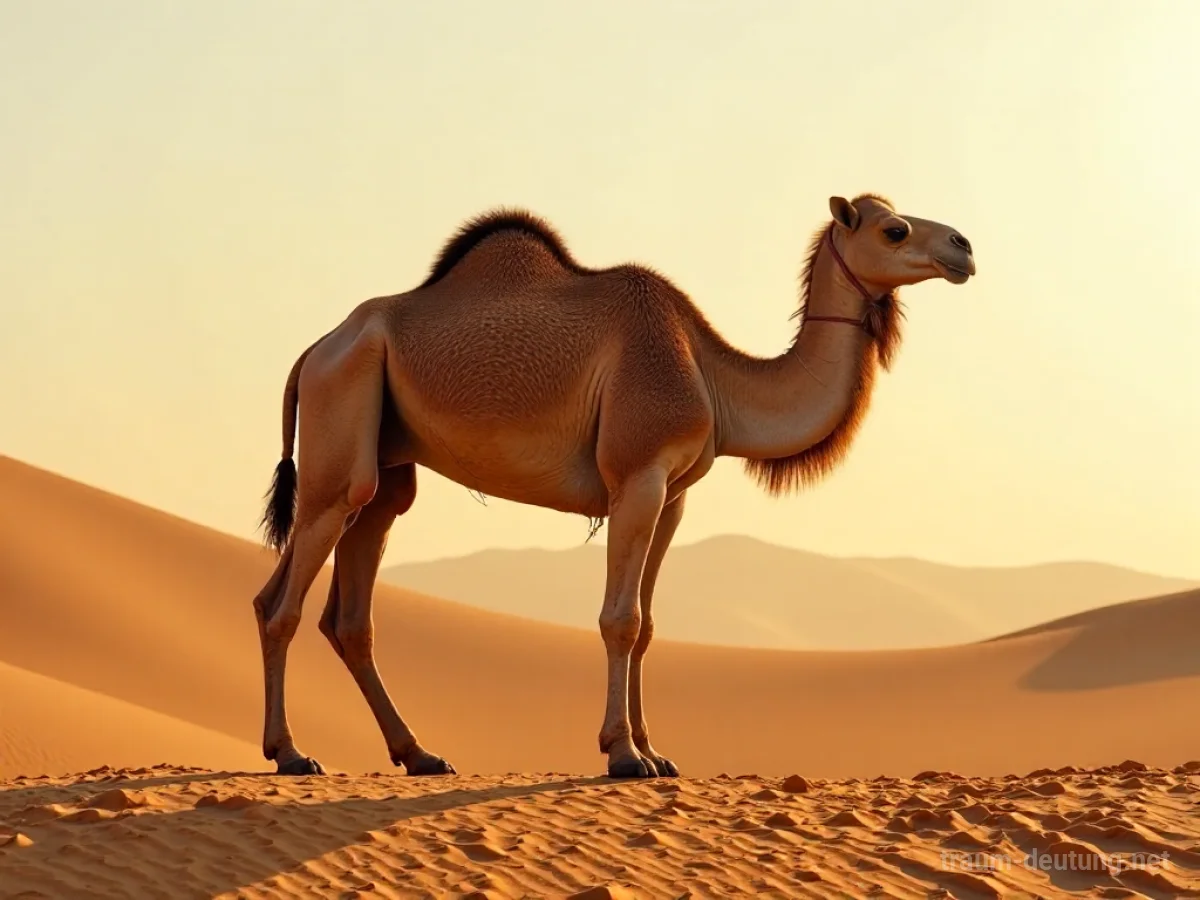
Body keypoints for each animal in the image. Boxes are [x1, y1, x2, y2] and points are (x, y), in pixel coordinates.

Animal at [252, 193, 976, 779]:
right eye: (894, 229)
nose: (963, 247)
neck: (711, 373)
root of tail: (315, 349)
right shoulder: (638, 474)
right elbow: (620, 619)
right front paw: (624, 755)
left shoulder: (674, 494)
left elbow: (649, 623)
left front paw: (657, 752)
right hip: (340, 420)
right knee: (286, 602)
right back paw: (290, 754)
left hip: (382, 467)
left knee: (342, 605)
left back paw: (420, 754)